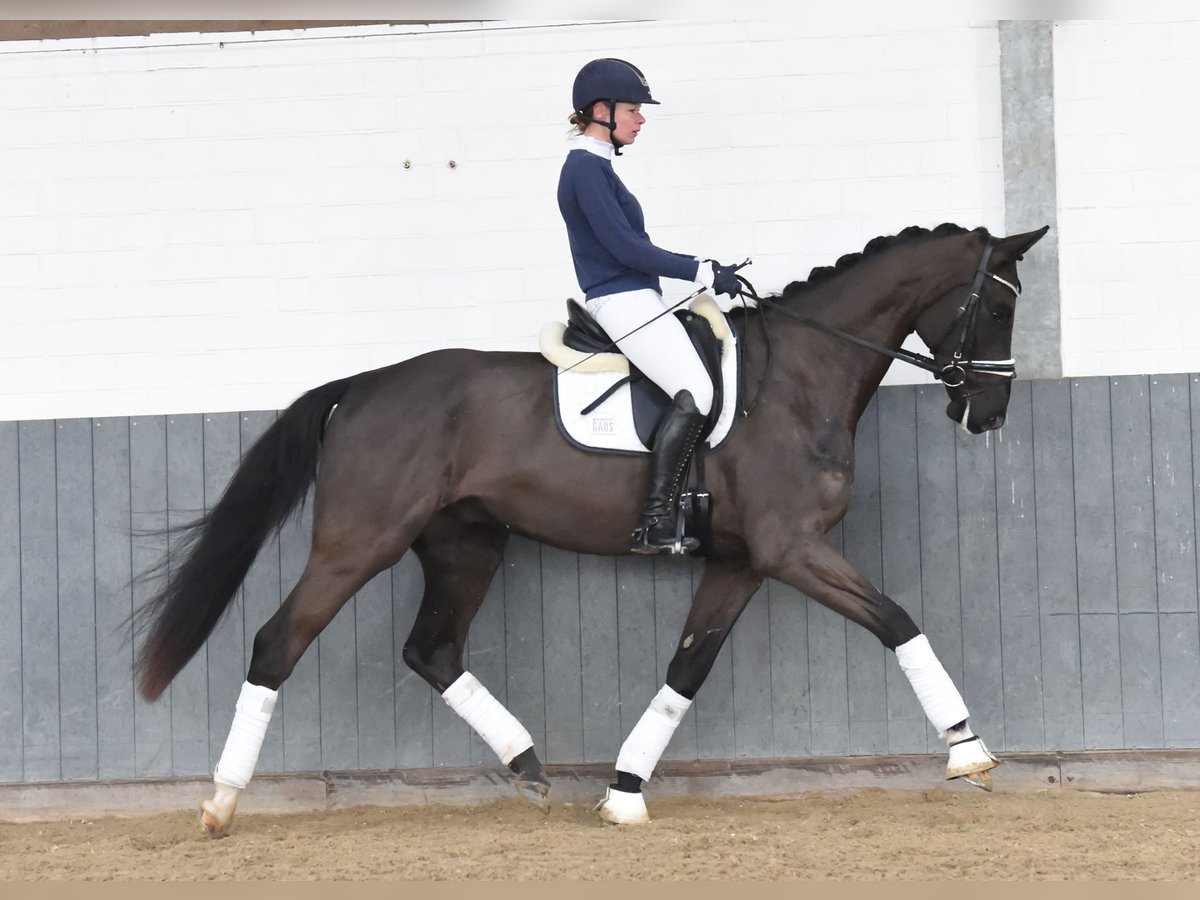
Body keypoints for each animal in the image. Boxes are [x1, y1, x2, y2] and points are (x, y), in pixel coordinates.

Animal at [133, 222, 1051, 835]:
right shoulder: (793, 548)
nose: (989, 413)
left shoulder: (742, 562)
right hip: (361, 542)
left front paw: (622, 792)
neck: (797, 379)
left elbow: (687, 670)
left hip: (466, 544)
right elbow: (898, 621)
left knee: (432, 651)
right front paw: (969, 752)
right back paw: (220, 803)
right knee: (276, 643)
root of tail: (361, 385)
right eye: (998, 309)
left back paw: (530, 766)